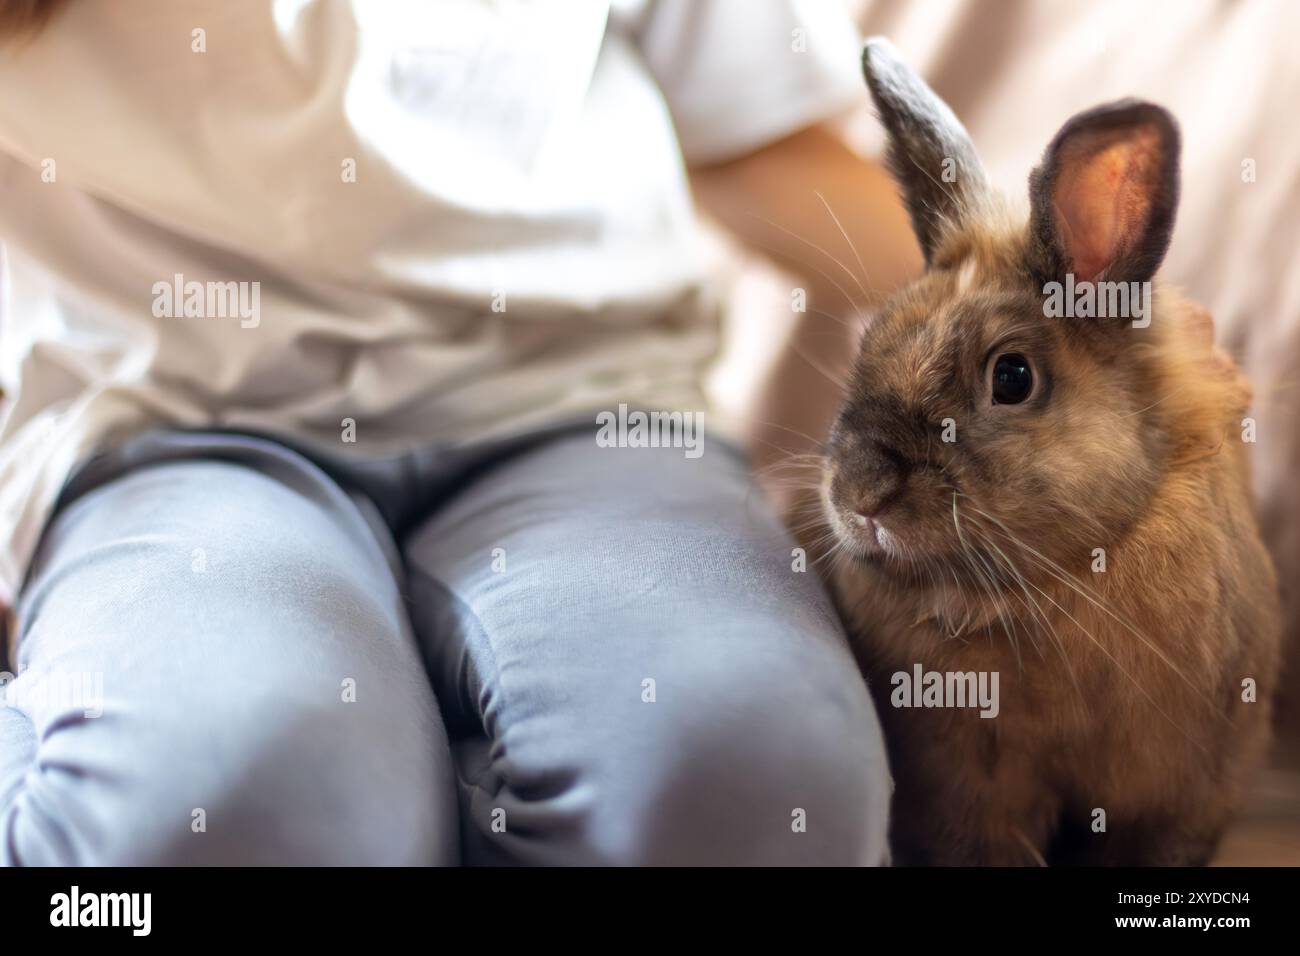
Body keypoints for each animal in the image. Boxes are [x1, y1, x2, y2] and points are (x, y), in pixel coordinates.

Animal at [798, 38, 1281, 865]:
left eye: (1012, 377)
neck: (1058, 581)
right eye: (871, 340)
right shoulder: (963, 794)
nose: (860, 496)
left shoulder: (1181, 796)